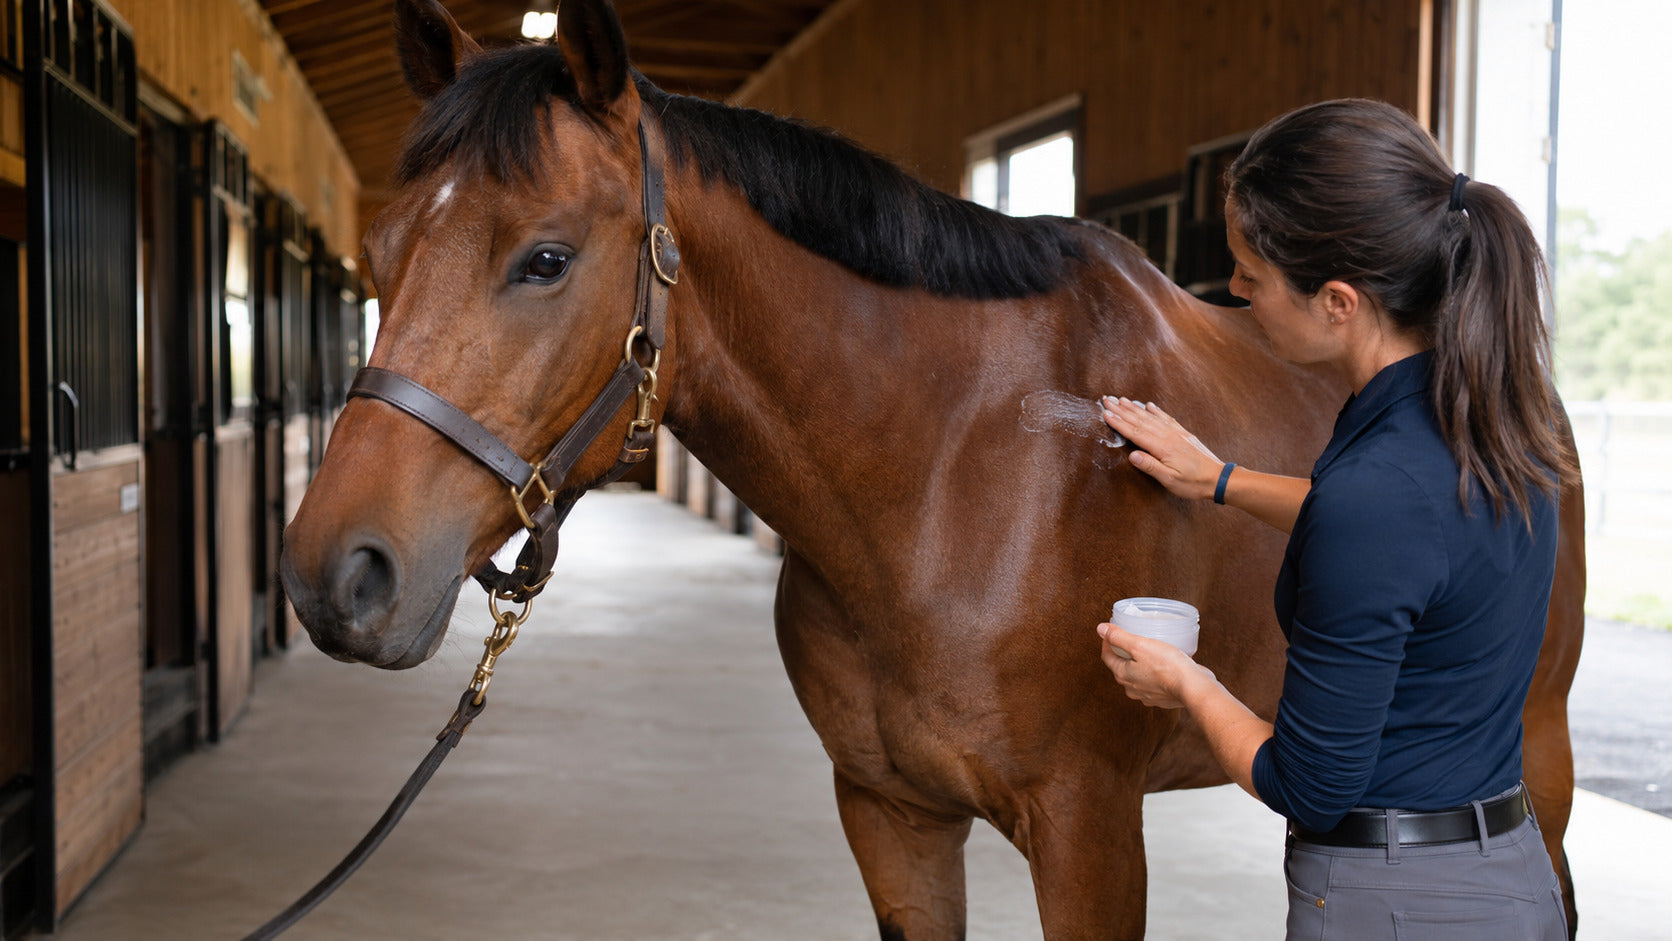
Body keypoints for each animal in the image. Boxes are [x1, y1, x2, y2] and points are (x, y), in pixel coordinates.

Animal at [279, 1, 1586, 937]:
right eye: (382, 252)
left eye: (544, 258)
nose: (332, 574)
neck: (952, 476)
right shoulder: (891, 815)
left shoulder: (1089, 833)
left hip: (1536, 755)